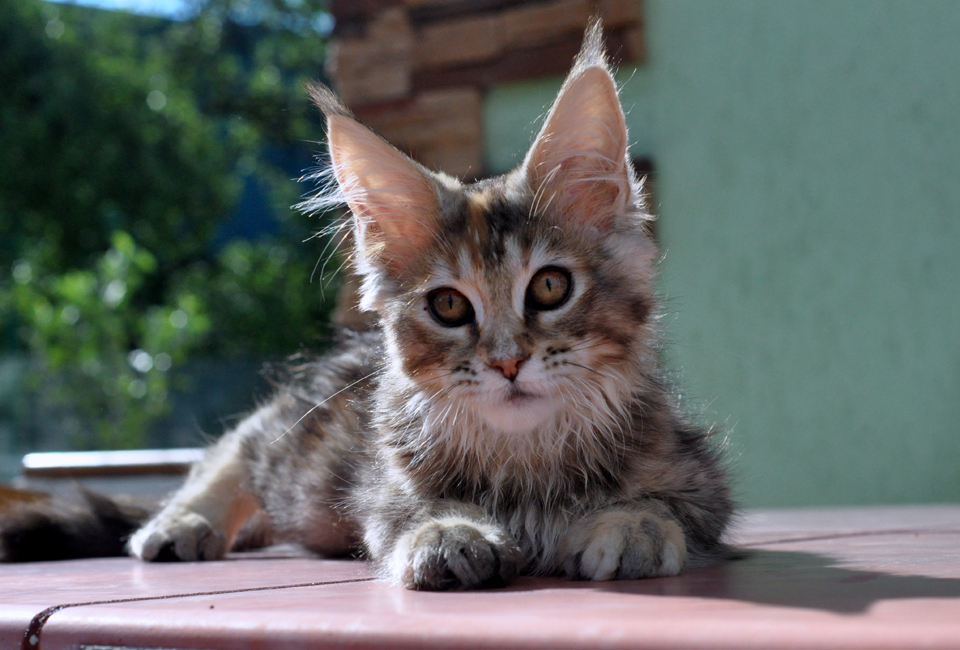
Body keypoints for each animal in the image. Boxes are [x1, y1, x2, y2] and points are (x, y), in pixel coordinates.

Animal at [1, 21, 736, 588]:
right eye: (449, 306)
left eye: (550, 287)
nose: (506, 362)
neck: (526, 463)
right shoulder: (383, 489)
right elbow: (407, 516)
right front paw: (448, 533)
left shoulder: (703, 480)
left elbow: (666, 506)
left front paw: (634, 523)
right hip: (295, 449)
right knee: (234, 448)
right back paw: (182, 521)